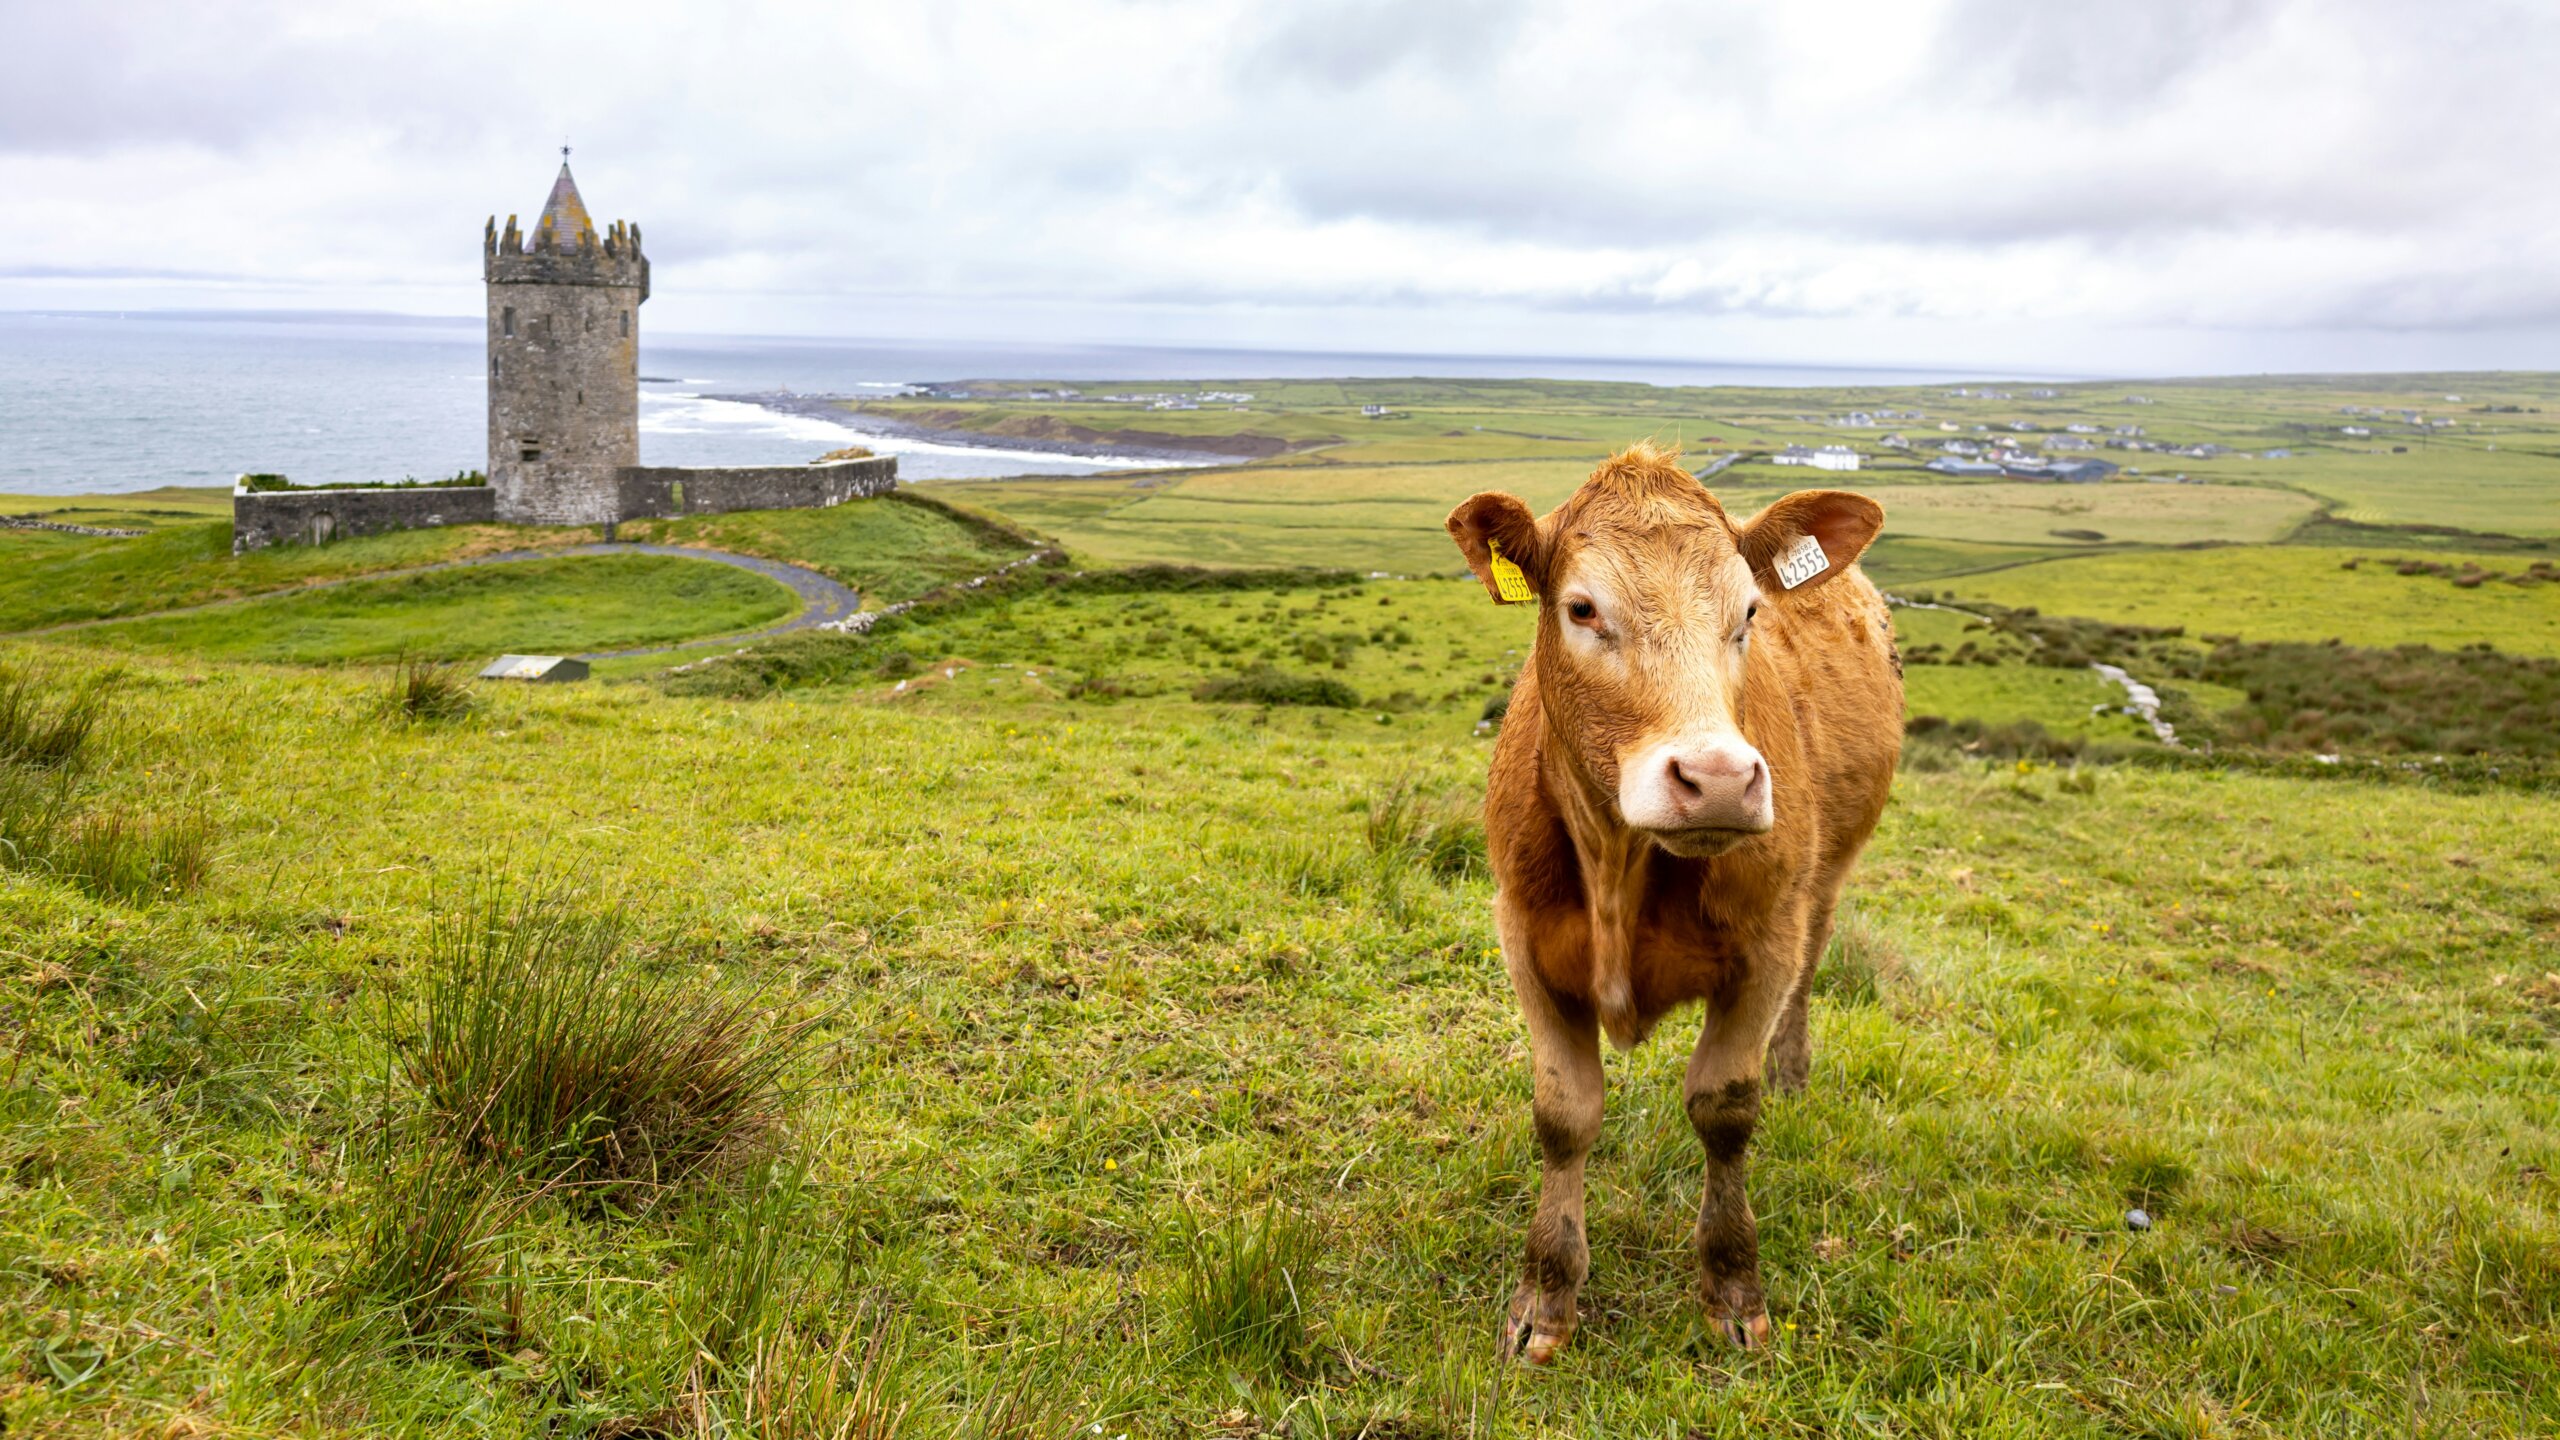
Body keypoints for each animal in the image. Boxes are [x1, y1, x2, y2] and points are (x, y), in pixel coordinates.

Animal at [1444, 442, 1901, 1360]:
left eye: (1750, 611)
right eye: (1582, 608)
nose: (1719, 778)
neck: (1618, 867)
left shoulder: (1766, 947)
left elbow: (1723, 1107)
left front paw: (1733, 1288)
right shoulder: (1524, 937)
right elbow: (1565, 1112)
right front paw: (1545, 1299)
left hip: (1828, 879)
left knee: (1811, 974)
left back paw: (1793, 1072)